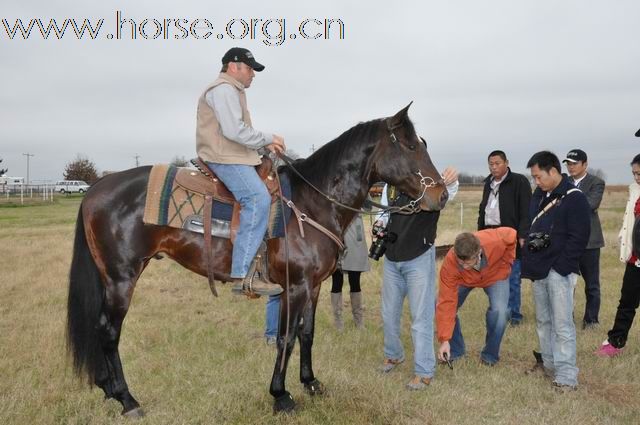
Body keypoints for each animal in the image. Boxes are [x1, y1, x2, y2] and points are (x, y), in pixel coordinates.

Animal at [65, 102, 444, 414]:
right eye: (411, 146)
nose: (440, 194)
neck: (312, 202)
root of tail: (96, 189)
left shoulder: (314, 287)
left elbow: (307, 334)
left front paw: (311, 383)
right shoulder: (294, 287)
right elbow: (285, 338)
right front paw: (281, 395)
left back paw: (108, 389)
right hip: (121, 277)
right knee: (109, 331)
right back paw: (127, 399)